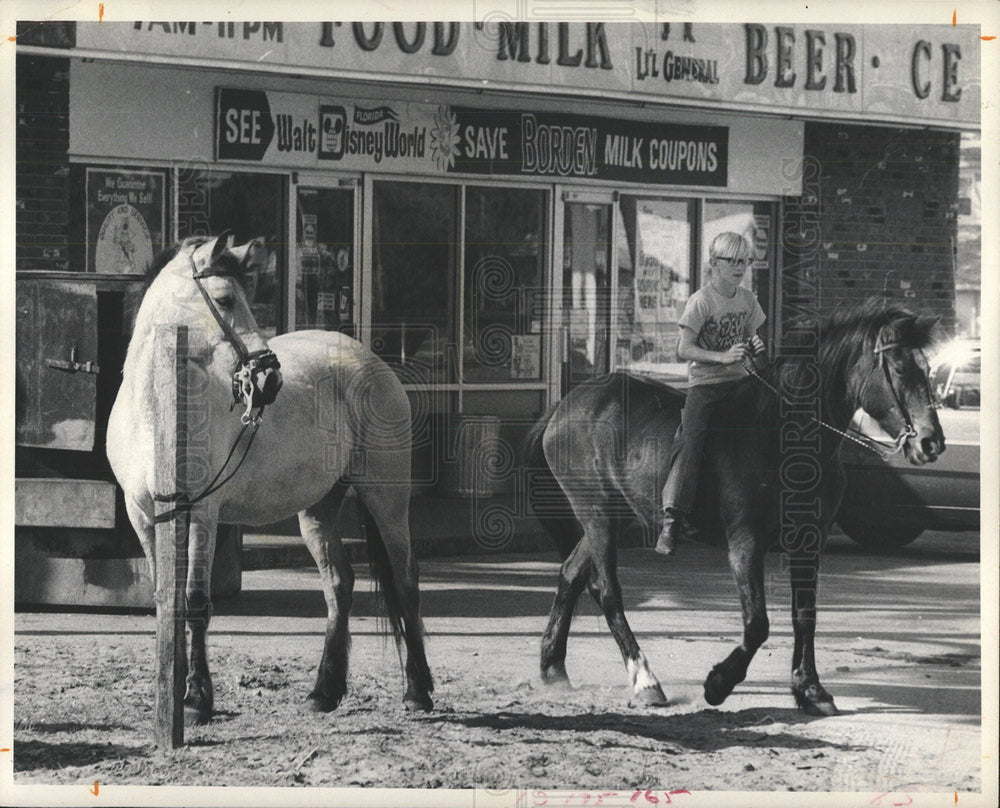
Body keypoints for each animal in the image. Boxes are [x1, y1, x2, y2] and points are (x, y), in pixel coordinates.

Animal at [109, 234, 434, 724]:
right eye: (225, 299)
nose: (269, 379)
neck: (159, 413)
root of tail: (369, 359)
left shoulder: (203, 514)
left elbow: (196, 602)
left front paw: (197, 698)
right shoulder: (145, 517)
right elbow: (167, 601)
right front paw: (173, 694)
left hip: (387, 499)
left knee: (406, 582)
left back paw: (417, 691)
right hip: (318, 508)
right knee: (338, 586)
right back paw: (324, 692)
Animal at [524, 304, 944, 712]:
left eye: (927, 370)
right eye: (900, 369)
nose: (931, 442)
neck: (784, 438)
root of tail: (565, 406)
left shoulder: (809, 543)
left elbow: (804, 616)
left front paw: (810, 690)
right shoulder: (746, 542)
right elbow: (757, 623)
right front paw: (718, 684)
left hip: (614, 517)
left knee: (571, 575)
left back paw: (553, 669)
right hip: (598, 515)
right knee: (608, 591)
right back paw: (645, 682)